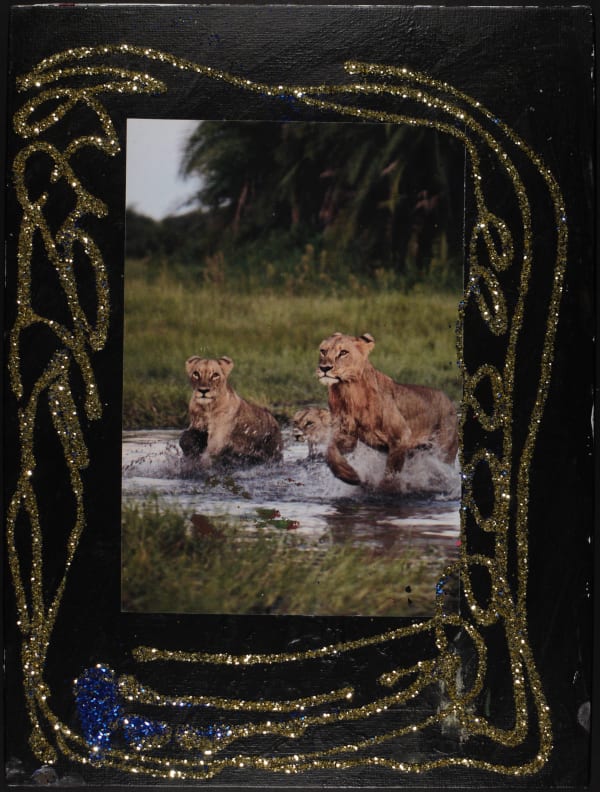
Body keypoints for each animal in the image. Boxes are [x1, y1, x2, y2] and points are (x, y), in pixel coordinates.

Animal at [317, 332, 458, 485]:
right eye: (323, 351)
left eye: (343, 352)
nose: (324, 368)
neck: (348, 391)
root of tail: (448, 399)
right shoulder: (347, 436)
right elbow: (330, 451)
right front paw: (348, 475)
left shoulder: (401, 437)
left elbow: (391, 473)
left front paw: (386, 488)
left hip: (443, 450)